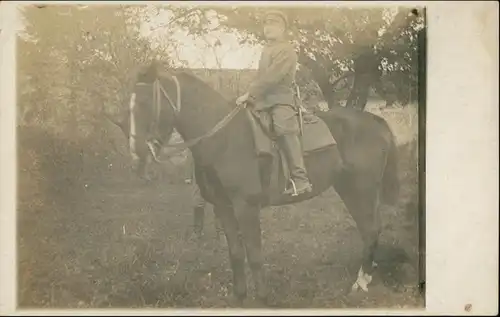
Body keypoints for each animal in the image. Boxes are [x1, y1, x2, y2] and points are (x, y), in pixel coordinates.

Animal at [127, 61, 400, 304]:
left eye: (144, 103)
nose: (136, 152)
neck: (223, 138)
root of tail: (376, 122)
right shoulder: (223, 208)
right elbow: (236, 253)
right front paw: (239, 297)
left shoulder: (246, 208)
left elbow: (255, 254)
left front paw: (262, 298)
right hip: (349, 189)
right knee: (369, 229)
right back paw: (367, 276)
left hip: (361, 190)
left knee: (370, 229)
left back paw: (360, 283)